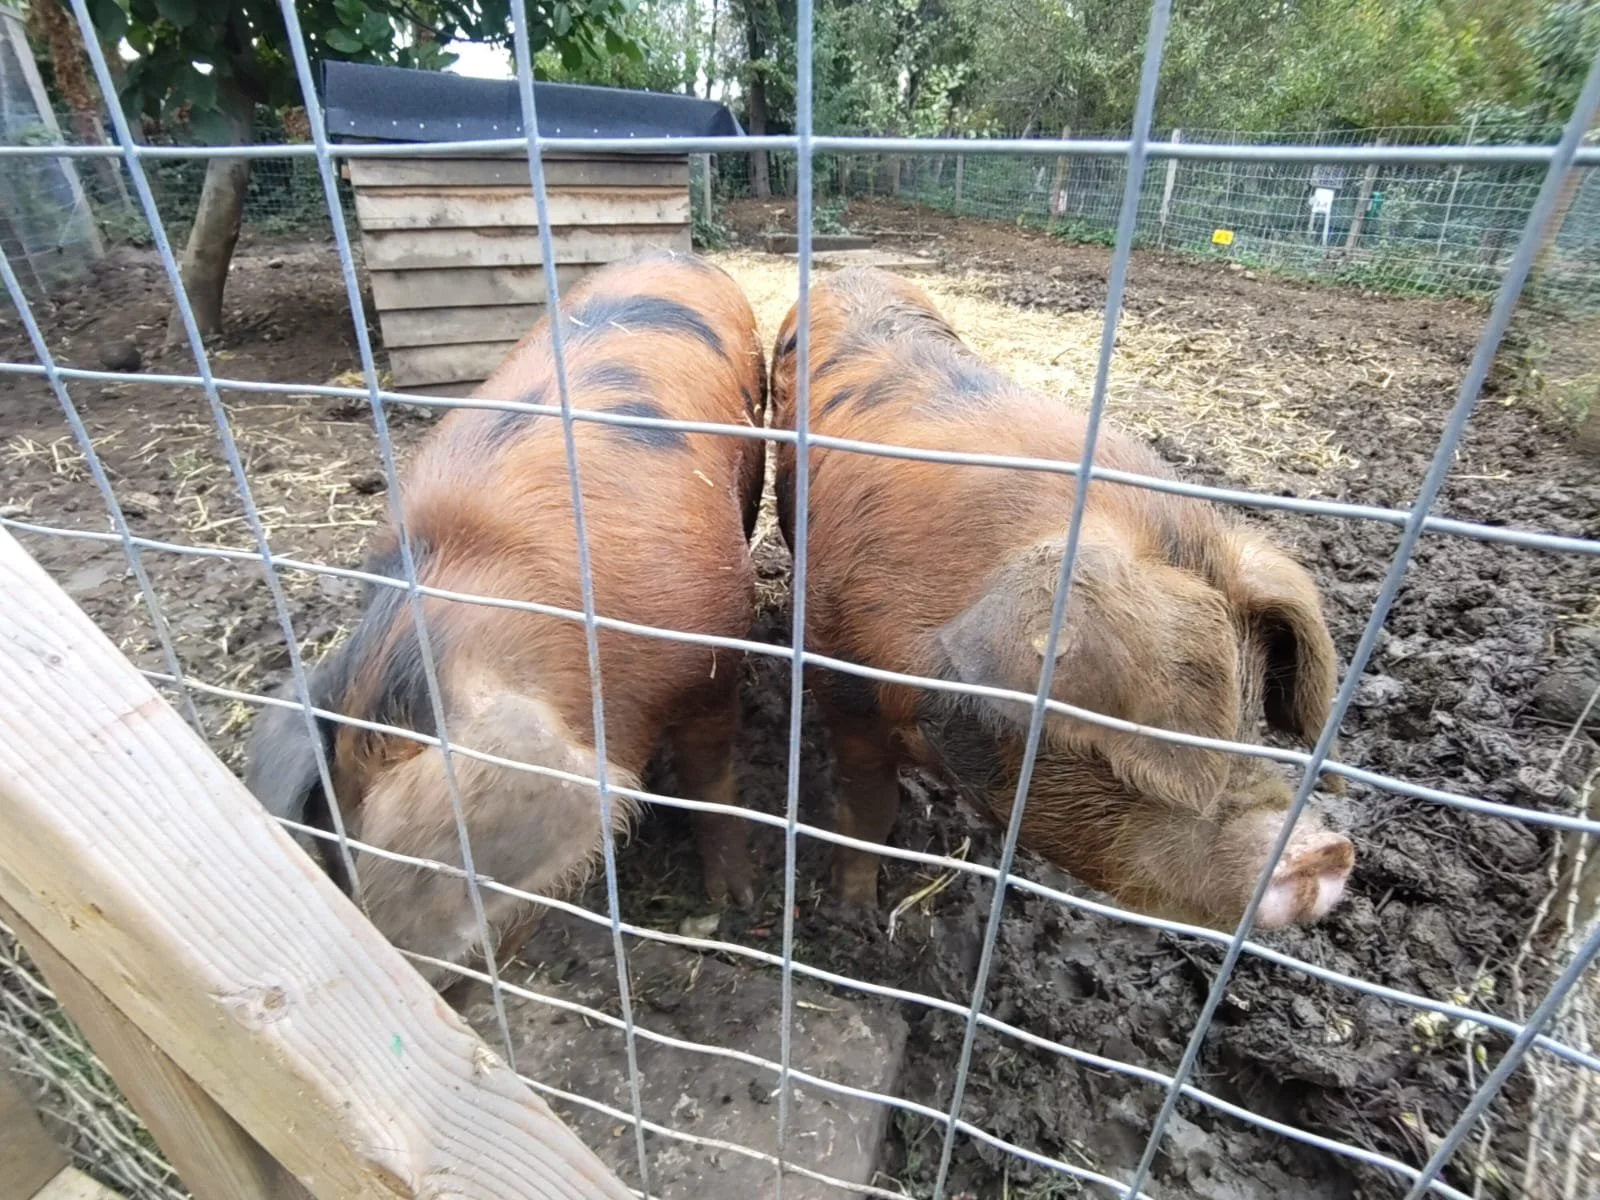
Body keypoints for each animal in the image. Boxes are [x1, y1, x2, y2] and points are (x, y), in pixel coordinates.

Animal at [764, 266, 1354, 933]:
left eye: (1251, 715)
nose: (1326, 851)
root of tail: (855, 269)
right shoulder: (844, 690)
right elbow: (866, 814)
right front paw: (854, 916)